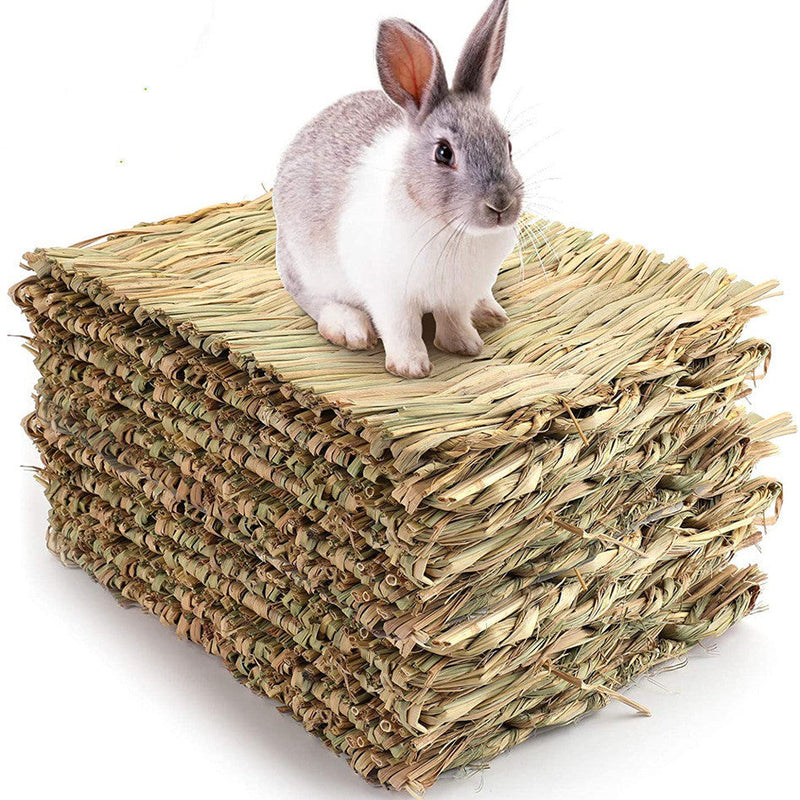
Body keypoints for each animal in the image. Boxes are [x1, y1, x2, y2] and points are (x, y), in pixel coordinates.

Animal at [273, 0, 523, 379]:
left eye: (508, 144)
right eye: (443, 153)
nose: (501, 205)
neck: (452, 231)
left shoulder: (456, 296)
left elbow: (453, 319)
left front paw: (466, 345)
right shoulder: (390, 296)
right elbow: (401, 328)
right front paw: (411, 368)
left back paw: (490, 312)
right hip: (305, 269)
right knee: (315, 301)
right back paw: (350, 329)